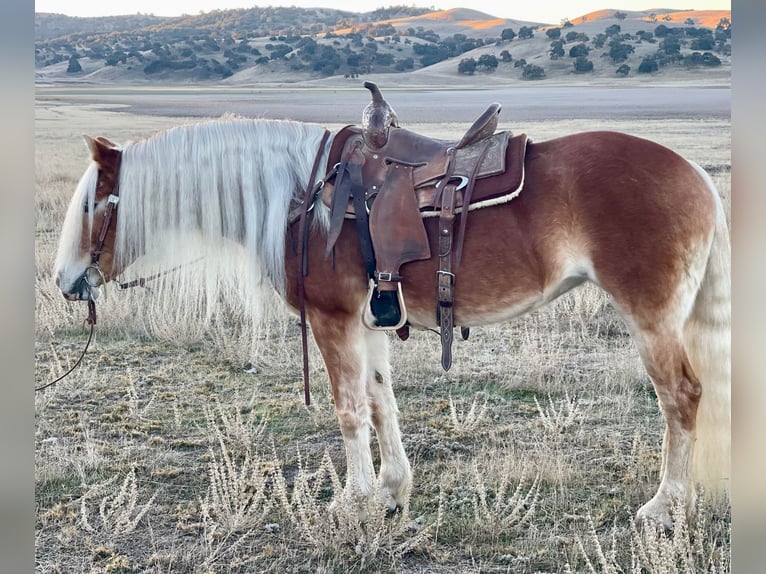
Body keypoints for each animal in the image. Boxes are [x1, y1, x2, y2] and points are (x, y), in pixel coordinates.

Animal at [54, 90, 732, 532]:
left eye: (93, 204)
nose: (64, 282)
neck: (303, 198)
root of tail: (699, 177)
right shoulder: (368, 321)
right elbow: (382, 402)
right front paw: (390, 491)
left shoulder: (331, 320)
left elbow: (350, 410)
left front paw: (351, 501)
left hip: (652, 321)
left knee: (682, 398)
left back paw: (667, 506)